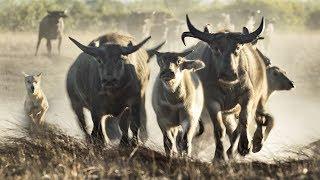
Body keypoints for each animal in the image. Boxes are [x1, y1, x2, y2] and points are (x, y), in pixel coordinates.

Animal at [182, 14, 268, 160]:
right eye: (215, 48)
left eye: (237, 48)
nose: (229, 74)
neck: (228, 88)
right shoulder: (212, 102)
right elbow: (219, 129)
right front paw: (219, 155)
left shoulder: (248, 95)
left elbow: (244, 120)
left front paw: (245, 146)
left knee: (246, 123)